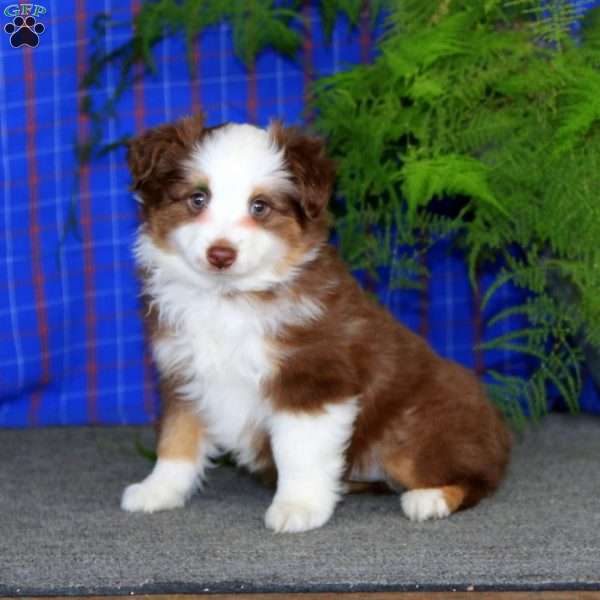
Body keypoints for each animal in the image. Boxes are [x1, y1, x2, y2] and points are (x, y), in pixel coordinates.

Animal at [120, 115, 510, 532]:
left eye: (259, 206)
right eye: (197, 199)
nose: (221, 254)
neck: (229, 298)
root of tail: (499, 426)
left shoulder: (313, 378)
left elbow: (299, 452)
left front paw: (298, 507)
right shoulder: (185, 374)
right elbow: (177, 438)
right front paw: (158, 490)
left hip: (413, 432)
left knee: (478, 477)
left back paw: (430, 498)